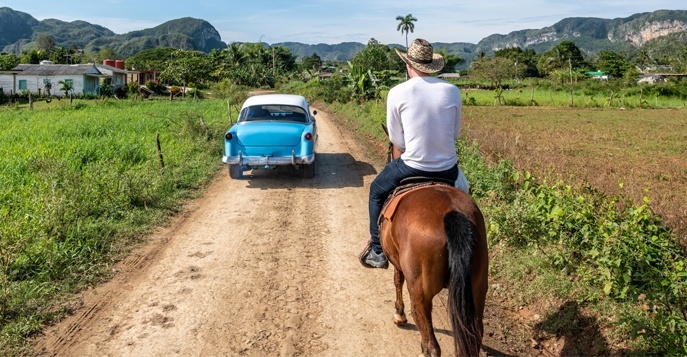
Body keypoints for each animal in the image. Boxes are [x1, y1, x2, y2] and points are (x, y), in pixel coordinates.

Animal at [382, 133, 490, 354]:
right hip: (477, 289)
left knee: (431, 344)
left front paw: (399, 315)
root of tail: (452, 213)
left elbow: (397, 281)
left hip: (421, 293)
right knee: (474, 339)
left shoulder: (398, 263)